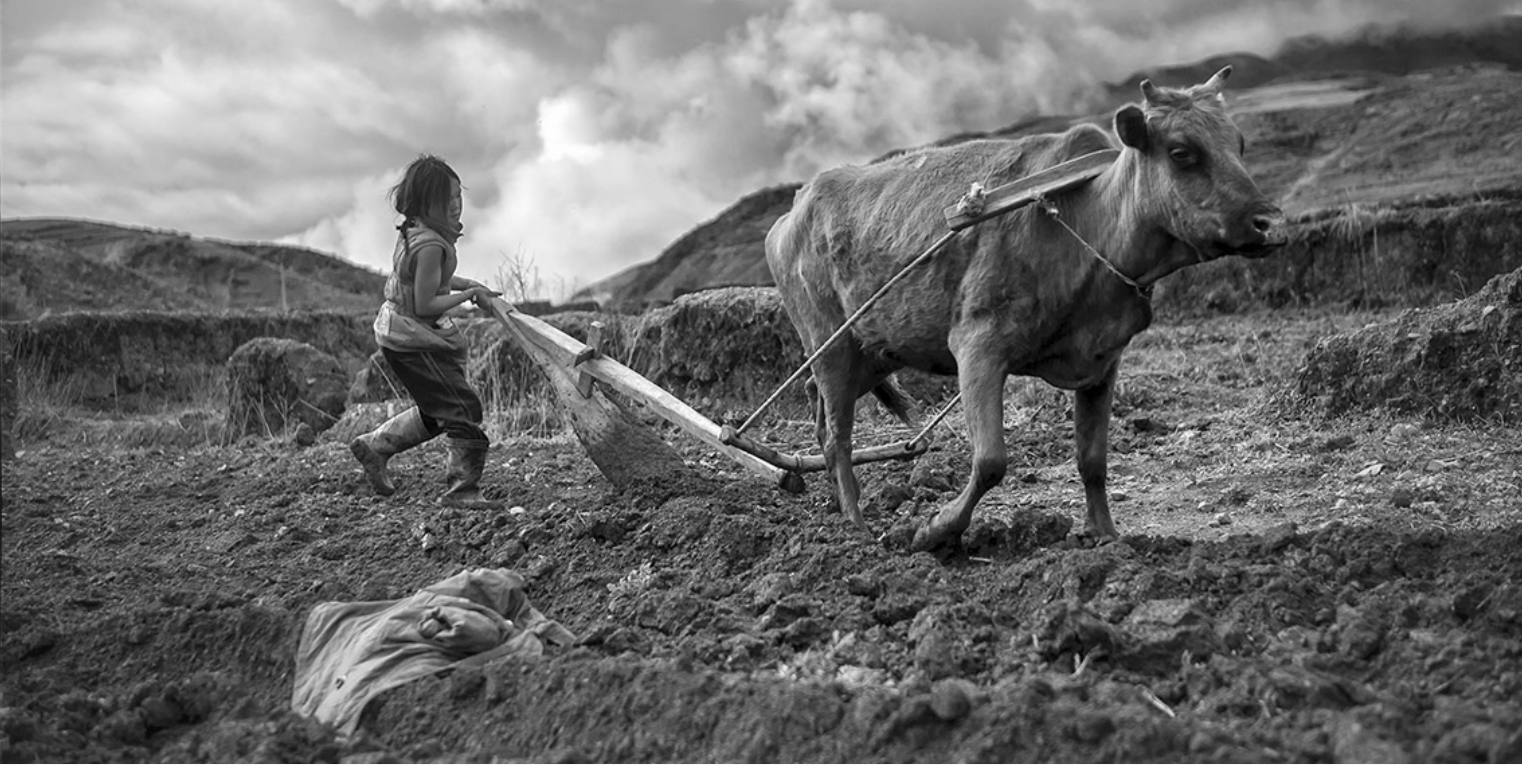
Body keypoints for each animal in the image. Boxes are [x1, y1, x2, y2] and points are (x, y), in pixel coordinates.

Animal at [767, 65, 1278, 553]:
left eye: (1239, 144)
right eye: (1181, 151)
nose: (1269, 223)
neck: (1089, 224)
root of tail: (791, 213)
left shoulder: (1103, 361)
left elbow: (1092, 459)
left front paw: (1105, 534)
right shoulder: (977, 347)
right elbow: (991, 461)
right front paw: (935, 530)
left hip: (874, 351)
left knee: (820, 415)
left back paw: (838, 510)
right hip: (830, 346)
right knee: (837, 438)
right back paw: (854, 529)